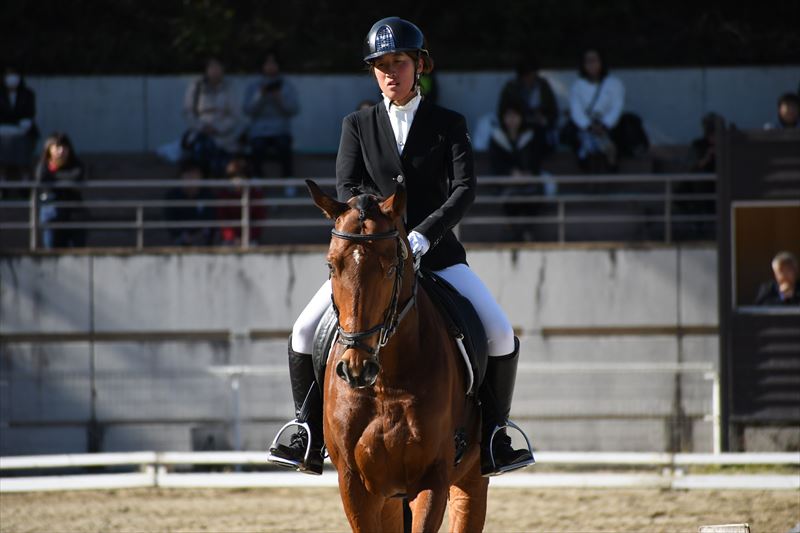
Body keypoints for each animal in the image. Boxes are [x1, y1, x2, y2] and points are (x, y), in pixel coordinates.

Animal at [308, 181, 488, 528]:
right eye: (331, 265)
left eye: (391, 268)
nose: (356, 369)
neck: (385, 384)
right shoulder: (354, 483)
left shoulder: (433, 477)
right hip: (388, 496)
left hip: (471, 477)